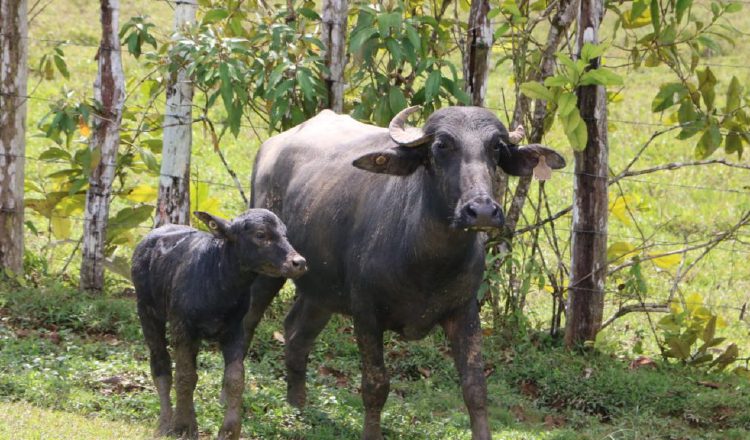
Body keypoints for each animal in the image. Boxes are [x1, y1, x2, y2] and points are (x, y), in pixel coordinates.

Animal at [131, 210, 306, 440]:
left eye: (285, 234)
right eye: (260, 235)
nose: (299, 262)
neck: (219, 283)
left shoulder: (235, 331)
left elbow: (235, 379)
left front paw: (230, 430)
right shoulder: (183, 328)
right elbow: (184, 376)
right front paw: (184, 427)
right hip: (147, 312)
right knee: (160, 364)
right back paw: (165, 423)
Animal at [245, 105, 564, 438]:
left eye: (496, 148)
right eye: (442, 145)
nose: (482, 211)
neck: (428, 265)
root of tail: (269, 148)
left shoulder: (464, 312)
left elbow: (475, 388)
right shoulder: (366, 314)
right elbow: (375, 386)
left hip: (321, 291)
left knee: (296, 334)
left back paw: (298, 407)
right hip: (268, 271)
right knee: (248, 322)